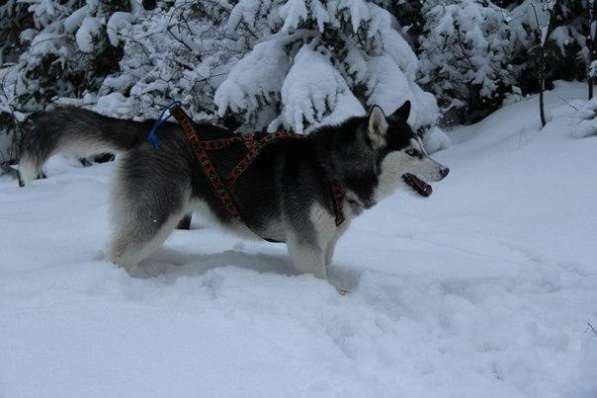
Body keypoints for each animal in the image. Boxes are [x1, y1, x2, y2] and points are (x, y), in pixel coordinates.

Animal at [18, 102, 448, 280]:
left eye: (423, 148)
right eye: (412, 152)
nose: (444, 170)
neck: (334, 169)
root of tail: (149, 128)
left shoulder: (326, 244)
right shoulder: (306, 246)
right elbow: (319, 279)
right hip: (159, 213)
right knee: (118, 254)